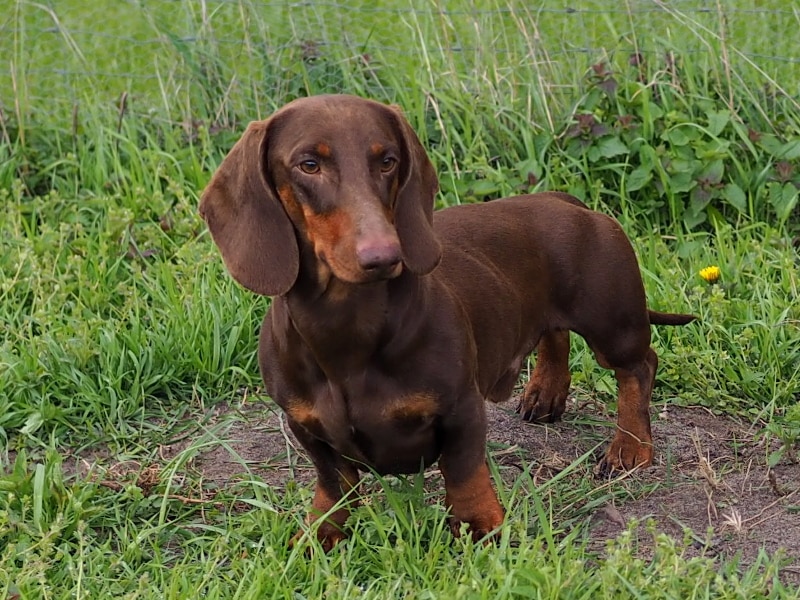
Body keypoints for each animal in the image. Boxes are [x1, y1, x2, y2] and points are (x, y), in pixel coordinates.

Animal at [198, 92, 692, 548]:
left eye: (388, 160)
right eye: (308, 165)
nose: (384, 256)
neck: (348, 332)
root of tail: (565, 200)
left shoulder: (461, 410)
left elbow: (463, 473)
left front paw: (481, 527)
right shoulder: (306, 428)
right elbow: (333, 484)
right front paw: (321, 533)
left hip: (612, 325)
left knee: (638, 366)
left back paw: (629, 446)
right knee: (554, 335)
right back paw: (546, 394)